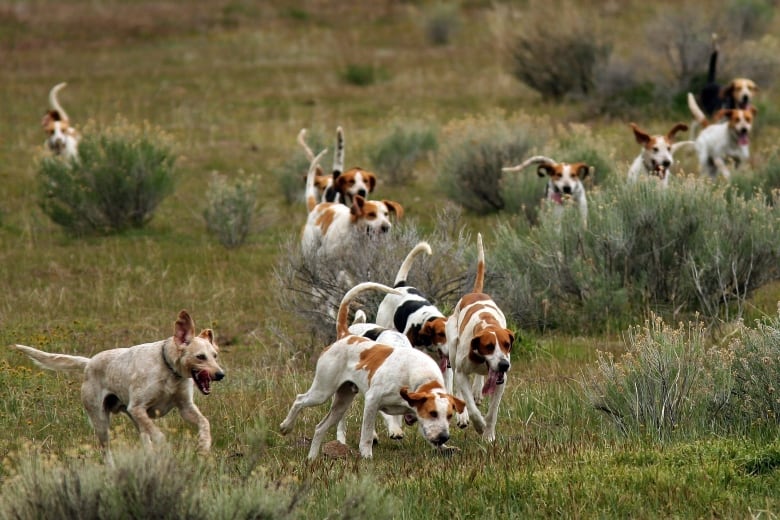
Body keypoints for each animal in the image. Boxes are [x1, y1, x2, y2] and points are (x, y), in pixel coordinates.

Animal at [10, 310, 224, 466]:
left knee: (144, 440)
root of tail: (89, 362)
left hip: (133, 421)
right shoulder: (137, 408)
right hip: (101, 422)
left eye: (215, 355)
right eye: (200, 357)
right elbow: (158, 434)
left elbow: (204, 423)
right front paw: (166, 446)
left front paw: (204, 446)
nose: (221, 374)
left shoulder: (185, 408)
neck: (169, 370)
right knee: (106, 451)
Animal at [278, 280, 464, 460]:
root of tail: (346, 335)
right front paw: (367, 455)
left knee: (319, 428)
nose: (444, 436)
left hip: (342, 402)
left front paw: (445, 448)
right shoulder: (372, 401)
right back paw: (286, 426)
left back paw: (312, 457)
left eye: (449, 415)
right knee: (300, 400)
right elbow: (367, 434)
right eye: (433, 413)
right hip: (322, 392)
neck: (418, 378)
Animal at [442, 234, 516, 440]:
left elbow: (493, 412)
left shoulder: (501, 381)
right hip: (453, 349)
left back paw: (477, 389)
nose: (504, 365)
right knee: (459, 386)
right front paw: (479, 425)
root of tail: (476, 293)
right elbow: (472, 408)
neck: (488, 324)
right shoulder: (461, 371)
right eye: (489, 346)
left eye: (507, 344)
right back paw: (464, 414)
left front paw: (488, 434)